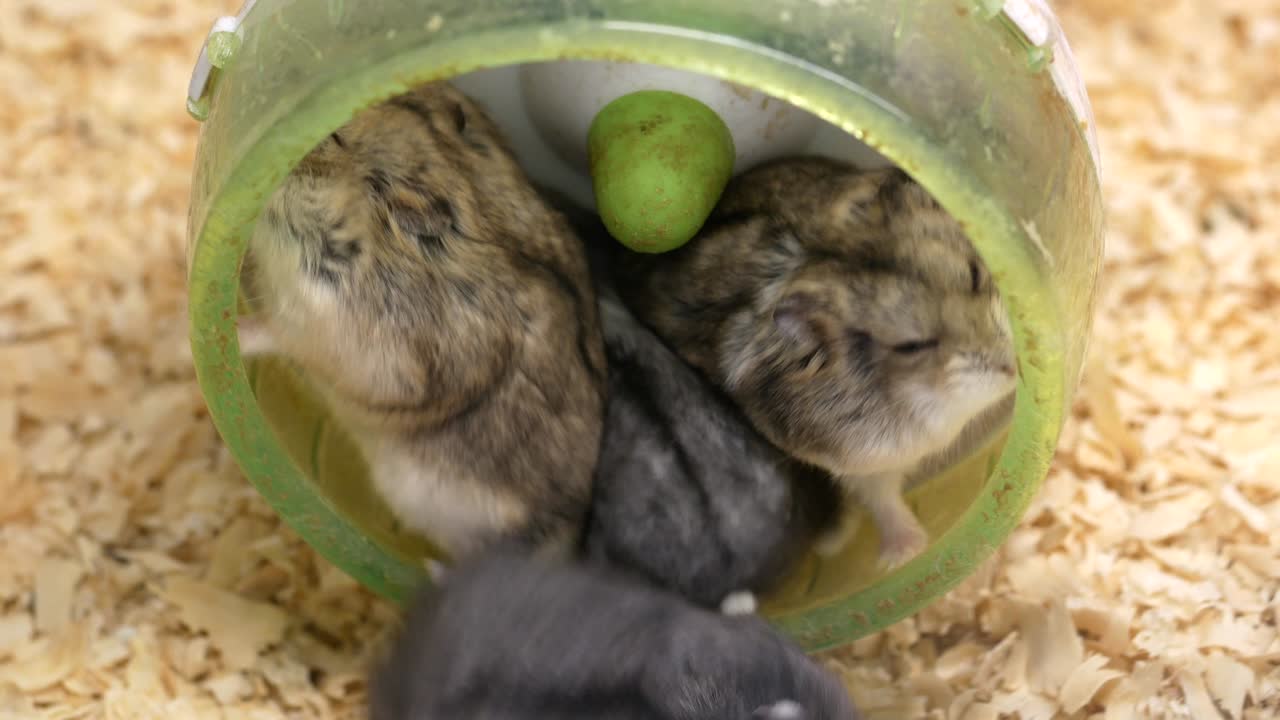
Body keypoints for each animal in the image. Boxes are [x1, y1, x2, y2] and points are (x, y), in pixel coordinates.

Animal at [614, 157, 1017, 570]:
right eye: (911, 346)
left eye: (974, 274)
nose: (1013, 369)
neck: (924, 397)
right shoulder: (863, 462)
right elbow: (881, 497)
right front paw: (903, 555)